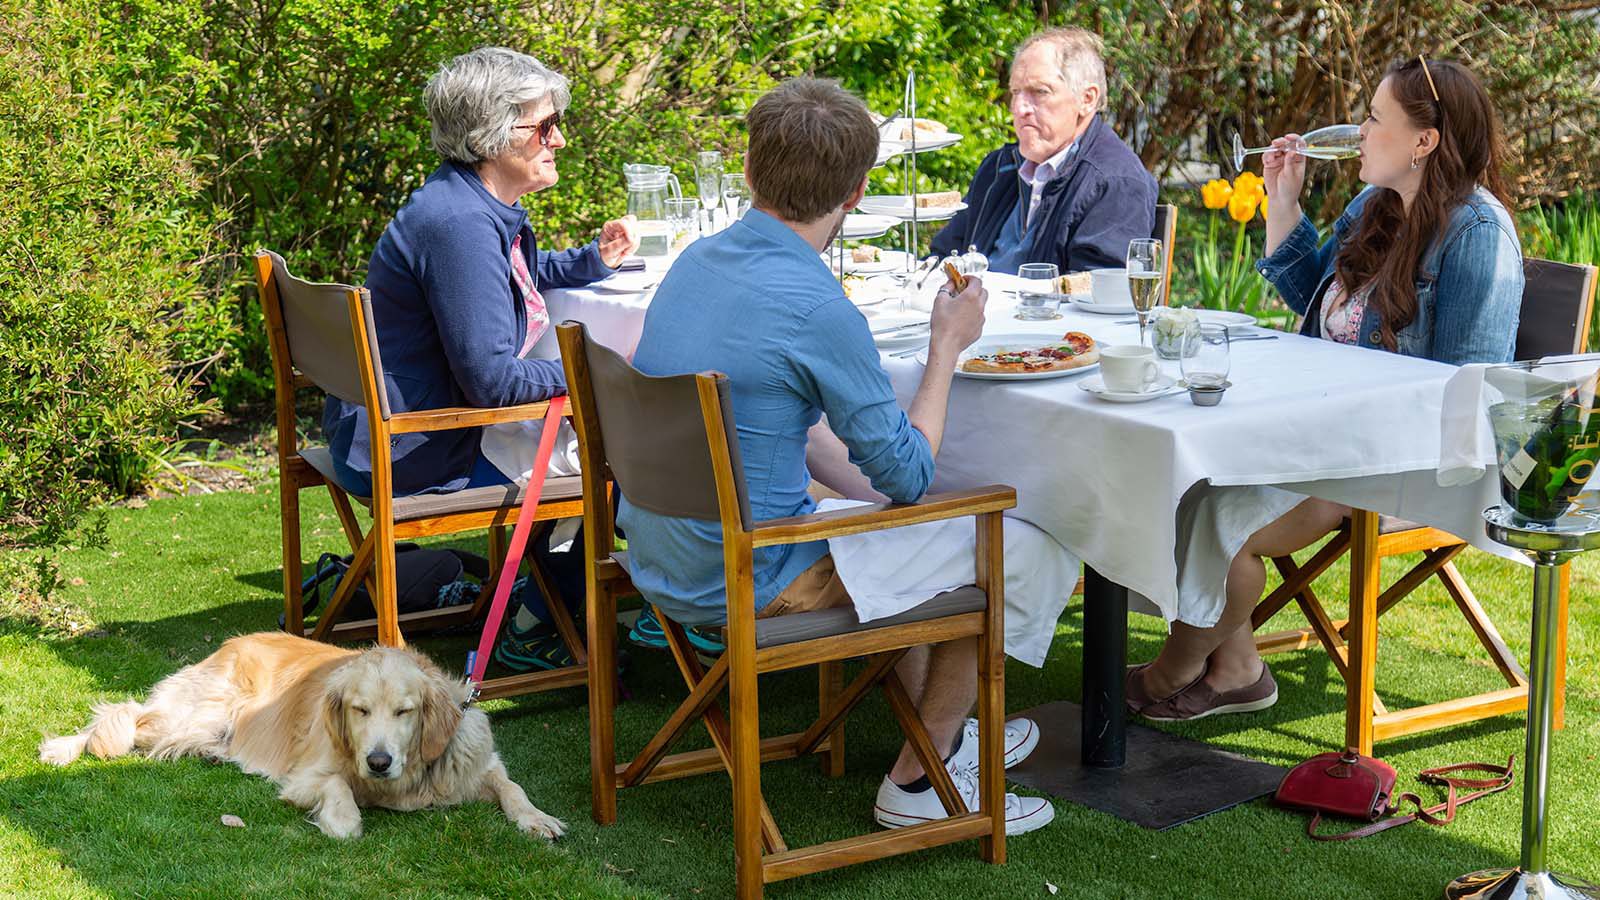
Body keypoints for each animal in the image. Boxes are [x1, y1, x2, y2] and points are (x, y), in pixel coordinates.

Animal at [37, 627, 566, 839]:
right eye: (359, 710)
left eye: (404, 712)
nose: (378, 762)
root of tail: (232, 641)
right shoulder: (306, 774)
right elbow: (337, 788)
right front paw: (344, 820)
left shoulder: (473, 760)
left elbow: (511, 786)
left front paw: (537, 818)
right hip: (197, 713)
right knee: (124, 714)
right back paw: (62, 749)